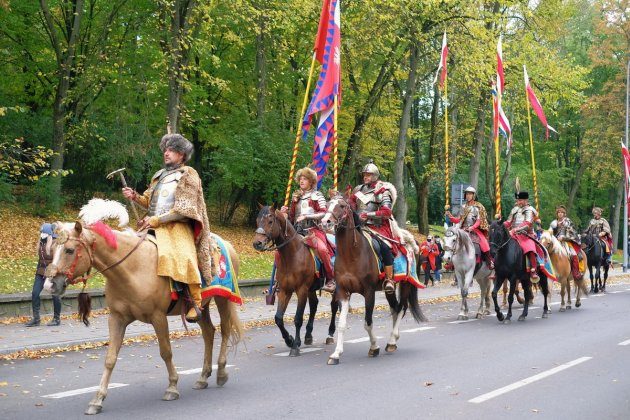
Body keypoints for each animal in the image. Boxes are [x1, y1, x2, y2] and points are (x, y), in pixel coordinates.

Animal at [43, 212, 242, 416]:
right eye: (52, 249)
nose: (50, 285)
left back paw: (221, 372)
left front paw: (172, 387)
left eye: (69, 250)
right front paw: (97, 399)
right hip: (201, 307)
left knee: (225, 330)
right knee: (208, 333)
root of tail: (227, 243)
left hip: (223, 299)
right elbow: (110, 358)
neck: (133, 268)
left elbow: (166, 352)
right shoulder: (116, 318)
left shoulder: (158, 317)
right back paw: (203, 377)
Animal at [253, 205, 340, 356]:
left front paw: (295, 346)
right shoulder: (284, 291)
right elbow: (278, 318)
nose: (257, 243)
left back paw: (330, 334)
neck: (292, 255)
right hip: (311, 289)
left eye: (270, 221)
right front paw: (289, 340)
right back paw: (308, 335)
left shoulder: (301, 290)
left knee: (333, 306)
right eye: (258, 220)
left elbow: (298, 318)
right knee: (314, 305)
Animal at [320, 196, 430, 364]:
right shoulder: (343, 292)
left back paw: (391, 340)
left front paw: (373, 347)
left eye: (342, 205)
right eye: (327, 205)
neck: (351, 254)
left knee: (401, 307)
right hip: (389, 289)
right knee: (395, 308)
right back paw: (393, 340)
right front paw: (336, 354)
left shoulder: (369, 292)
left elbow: (368, 323)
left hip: (406, 283)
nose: (326, 222)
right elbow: (342, 324)